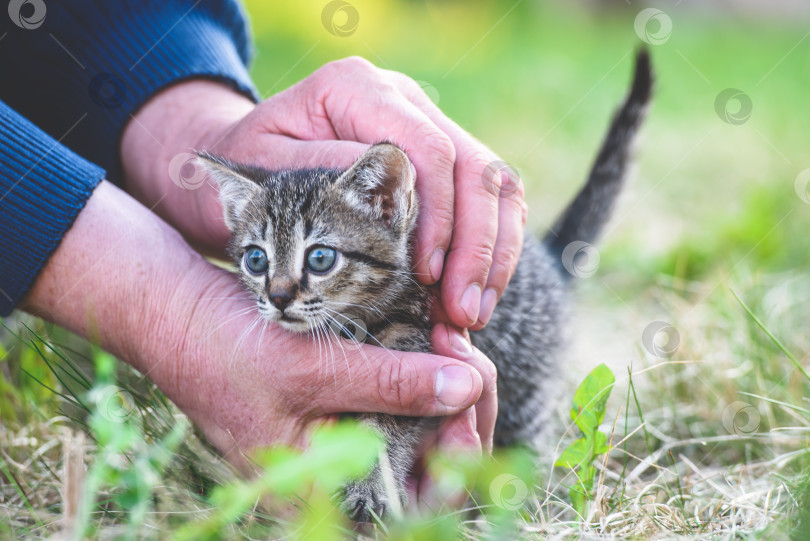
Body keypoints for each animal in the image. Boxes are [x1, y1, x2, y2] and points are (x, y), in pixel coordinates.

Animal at [199, 50, 652, 524]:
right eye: (256, 260)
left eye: (320, 258)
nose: (279, 297)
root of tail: (548, 258)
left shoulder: (415, 338)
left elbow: (381, 429)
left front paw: (370, 487)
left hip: (525, 388)